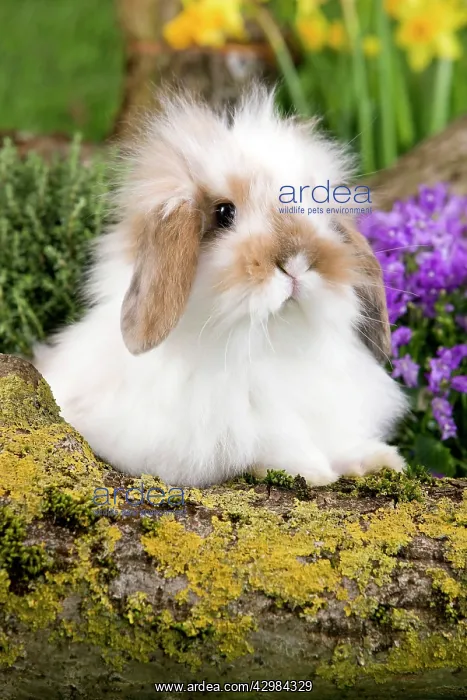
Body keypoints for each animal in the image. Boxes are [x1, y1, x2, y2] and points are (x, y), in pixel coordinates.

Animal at [33, 85, 408, 487]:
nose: (297, 260)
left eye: (316, 206)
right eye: (224, 213)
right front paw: (312, 471)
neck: (270, 341)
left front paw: (378, 460)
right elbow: (272, 441)